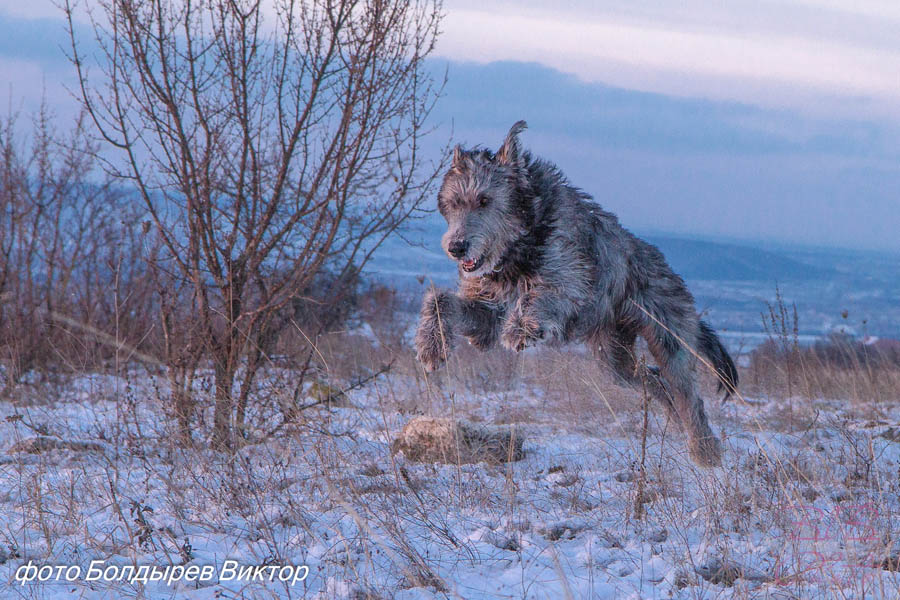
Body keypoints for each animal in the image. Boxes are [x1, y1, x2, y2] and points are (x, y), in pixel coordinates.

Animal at [414, 123, 740, 468]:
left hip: (669, 338)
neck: (520, 245)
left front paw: (520, 328)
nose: (456, 247)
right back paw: (675, 423)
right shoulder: (487, 307)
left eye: (485, 200)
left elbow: (545, 291)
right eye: (453, 204)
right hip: (614, 360)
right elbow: (441, 301)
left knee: (687, 395)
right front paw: (431, 345)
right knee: (653, 380)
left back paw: (705, 450)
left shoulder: (571, 279)